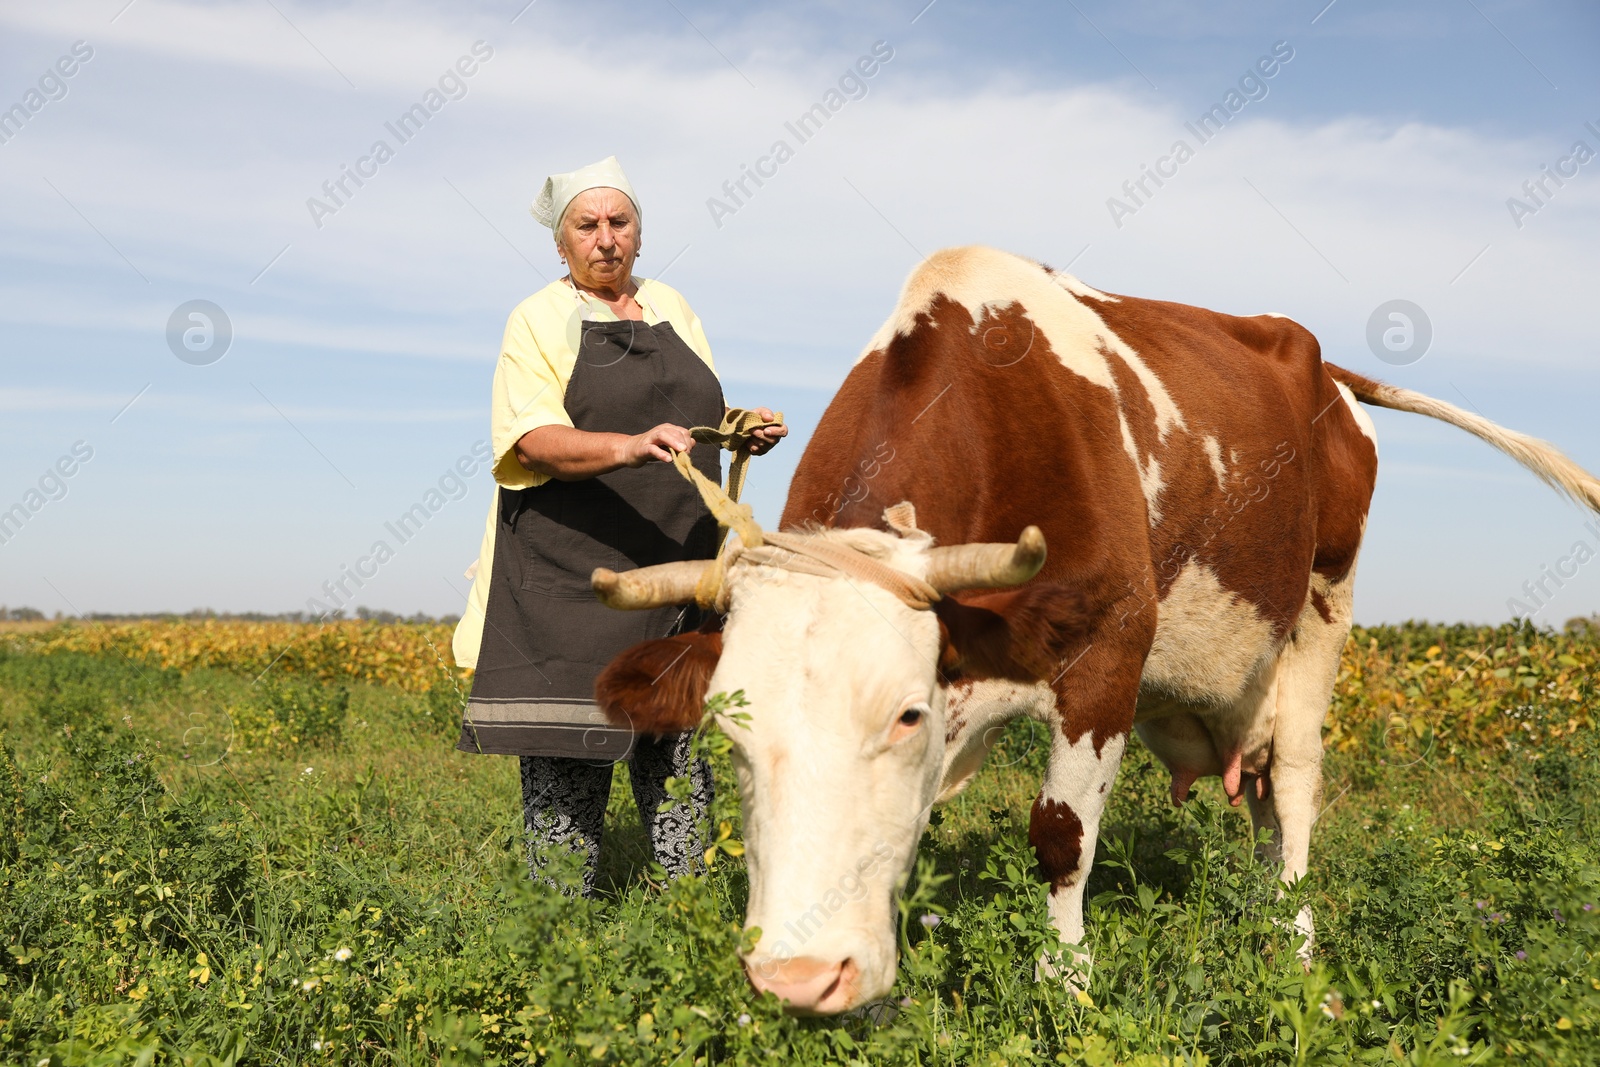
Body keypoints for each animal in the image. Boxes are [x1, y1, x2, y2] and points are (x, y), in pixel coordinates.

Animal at [588, 246, 1600, 1017]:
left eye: (905, 715)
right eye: (728, 729)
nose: (797, 977)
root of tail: (1318, 361)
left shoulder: (1110, 650)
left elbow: (1061, 834)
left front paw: (1065, 983)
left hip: (1324, 605)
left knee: (1296, 790)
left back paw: (1295, 947)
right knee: (1262, 799)